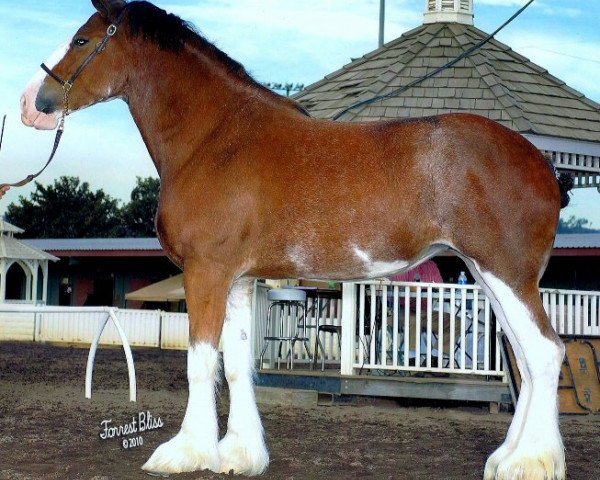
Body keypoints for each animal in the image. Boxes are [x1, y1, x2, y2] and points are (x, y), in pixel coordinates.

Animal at [18, 1, 572, 478]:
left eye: (81, 39)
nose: (30, 104)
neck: (215, 139)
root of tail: (545, 168)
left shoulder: (206, 272)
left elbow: (201, 362)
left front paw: (185, 452)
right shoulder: (238, 280)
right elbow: (237, 365)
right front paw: (239, 455)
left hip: (505, 272)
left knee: (544, 353)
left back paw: (530, 463)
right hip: (488, 275)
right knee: (524, 360)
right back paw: (509, 458)